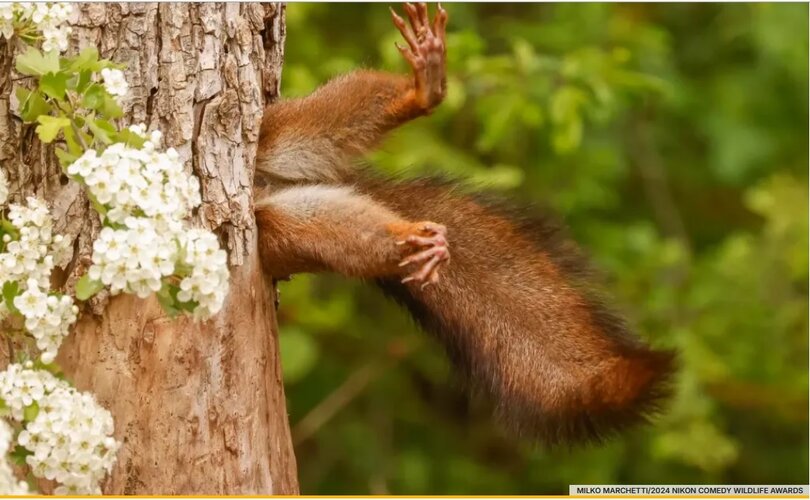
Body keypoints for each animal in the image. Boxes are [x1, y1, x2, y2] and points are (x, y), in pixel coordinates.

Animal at [254, 1, 676, 444]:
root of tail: (267, 186)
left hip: (276, 133)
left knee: (325, 119)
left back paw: (422, 91)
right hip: (280, 230)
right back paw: (412, 241)